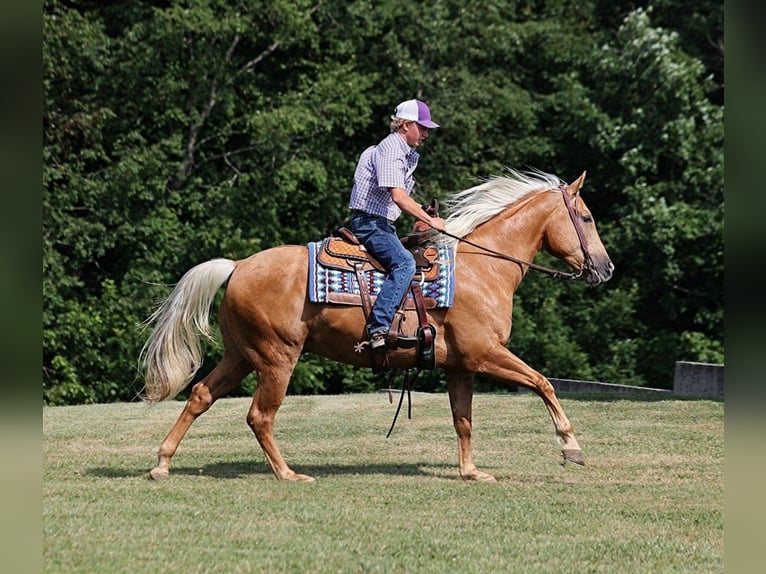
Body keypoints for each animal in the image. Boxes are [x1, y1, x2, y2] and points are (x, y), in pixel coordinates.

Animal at [140, 168, 614, 482]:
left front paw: (471, 472)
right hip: (276, 358)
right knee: (260, 415)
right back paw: (288, 474)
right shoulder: (487, 354)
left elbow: (463, 420)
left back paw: (162, 463)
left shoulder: (460, 366)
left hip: (240, 355)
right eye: (587, 218)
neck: (483, 268)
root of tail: (238, 266)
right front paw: (571, 447)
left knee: (201, 395)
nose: (606, 268)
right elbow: (542, 383)